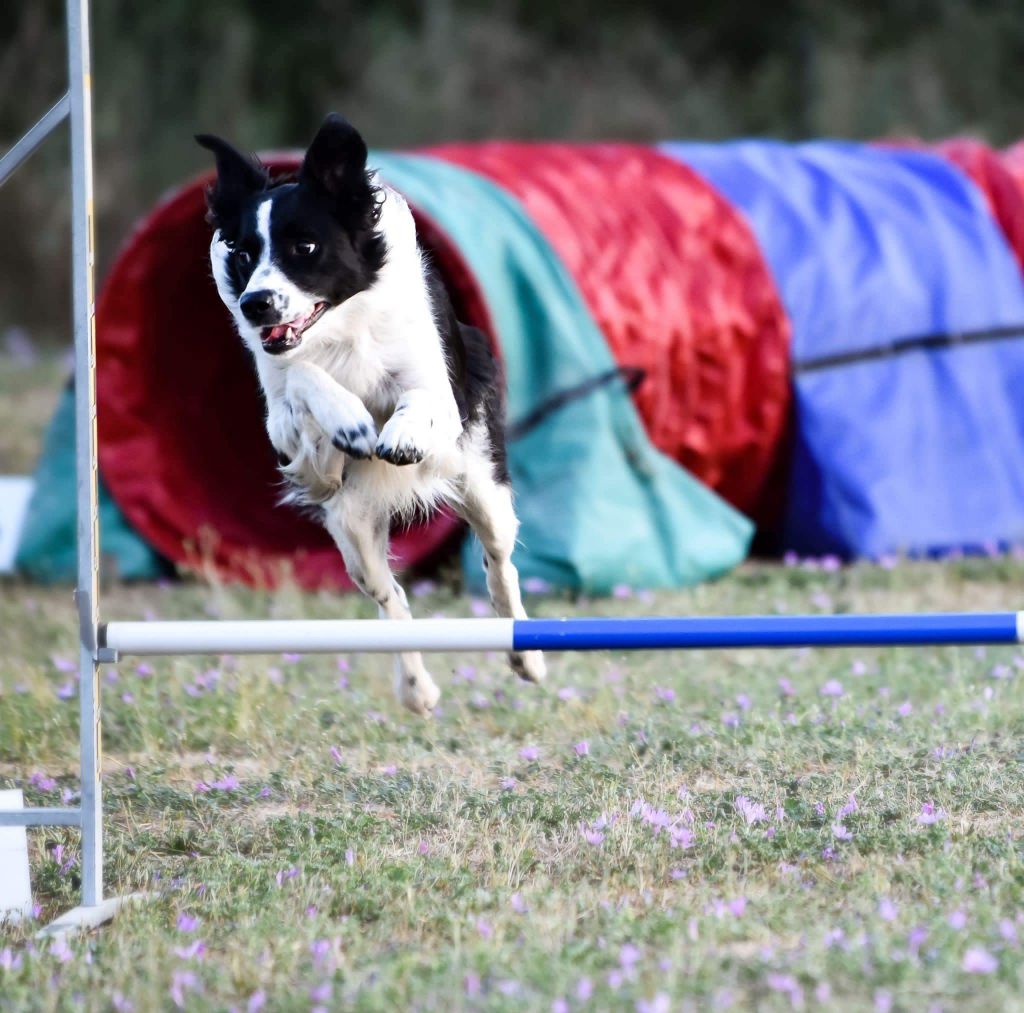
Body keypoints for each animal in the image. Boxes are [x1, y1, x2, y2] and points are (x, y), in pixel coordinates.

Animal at [193, 116, 544, 712]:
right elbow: (305, 384)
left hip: (482, 485)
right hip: (353, 531)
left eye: (305, 246)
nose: (254, 304)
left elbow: (418, 398)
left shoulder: (439, 391)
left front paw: (397, 434)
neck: (340, 329)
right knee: (391, 595)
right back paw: (417, 688)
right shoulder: (287, 433)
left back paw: (528, 656)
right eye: (242, 254)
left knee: (500, 563)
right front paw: (348, 421)